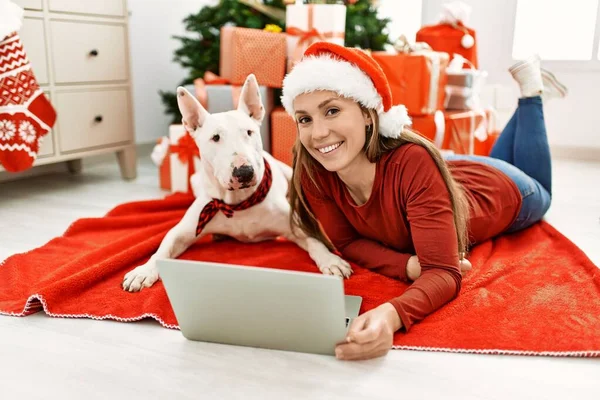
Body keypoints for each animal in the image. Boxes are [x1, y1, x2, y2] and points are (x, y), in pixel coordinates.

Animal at [123, 73, 354, 292]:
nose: (244, 172)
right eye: (215, 137)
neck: (239, 203)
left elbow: (315, 241)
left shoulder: (296, 227)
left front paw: (331, 260)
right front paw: (143, 271)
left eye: (249, 132)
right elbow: (162, 248)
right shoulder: (185, 229)